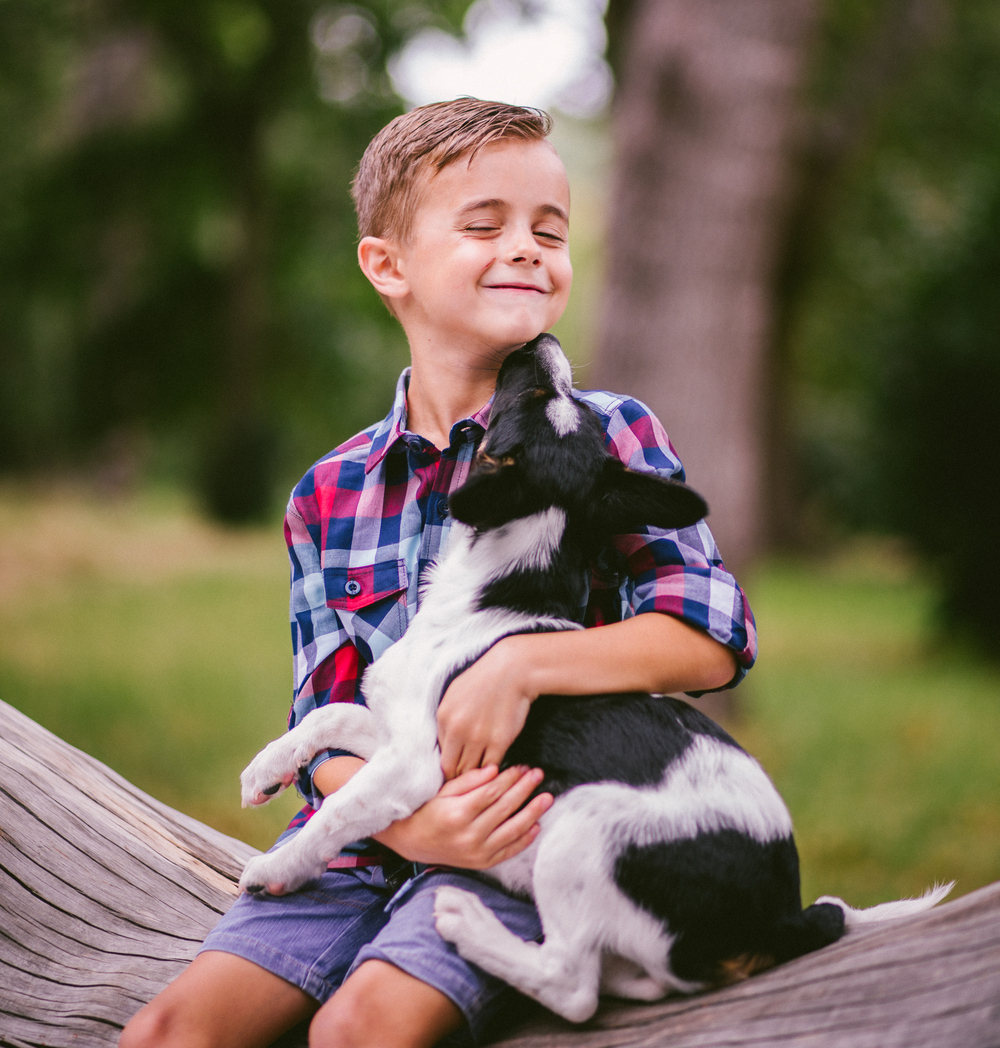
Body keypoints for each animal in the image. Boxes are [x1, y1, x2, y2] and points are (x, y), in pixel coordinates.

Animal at [237, 333, 947, 1022]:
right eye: (559, 400)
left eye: (540, 398)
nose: (542, 340)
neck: (495, 588)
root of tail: (779, 920)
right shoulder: (395, 728)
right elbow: (327, 715)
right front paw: (264, 770)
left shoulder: (416, 766)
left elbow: (340, 813)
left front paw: (276, 867)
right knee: (634, 979)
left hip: (584, 823)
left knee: (572, 984)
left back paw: (471, 924)